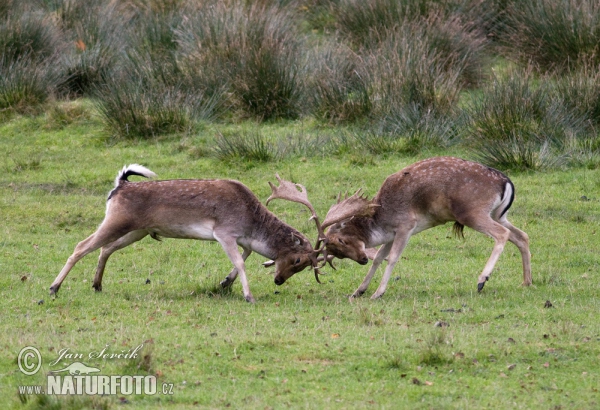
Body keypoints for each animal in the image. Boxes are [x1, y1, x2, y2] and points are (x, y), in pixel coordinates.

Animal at [49, 165, 326, 302]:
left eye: (303, 265)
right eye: (298, 259)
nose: (279, 280)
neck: (252, 222)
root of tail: (119, 185)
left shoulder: (241, 239)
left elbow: (244, 256)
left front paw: (225, 283)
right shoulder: (223, 231)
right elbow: (241, 261)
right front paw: (249, 296)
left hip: (136, 230)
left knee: (105, 249)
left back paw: (97, 285)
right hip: (117, 220)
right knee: (81, 245)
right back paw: (54, 288)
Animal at [322, 156, 532, 298]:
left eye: (341, 240)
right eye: (337, 252)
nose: (362, 259)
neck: (382, 219)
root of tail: (506, 182)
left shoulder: (406, 225)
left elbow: (392, 258)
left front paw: (378, 293)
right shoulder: (392, 234)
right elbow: (379, 258)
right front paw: (358, 290)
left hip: (471, 212)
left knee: (503, 234)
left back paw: (482, 280)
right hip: (498, 214)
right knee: (522, 235)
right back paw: (526, 281)